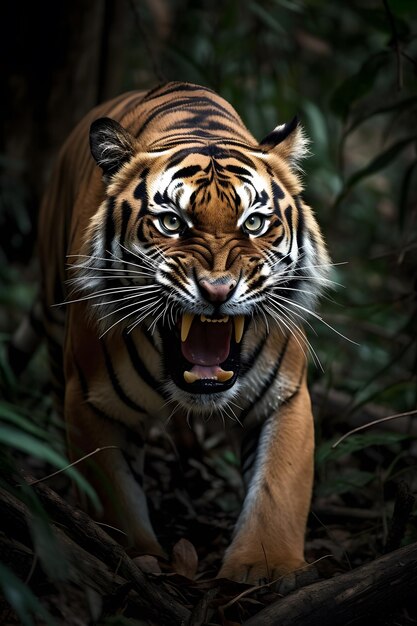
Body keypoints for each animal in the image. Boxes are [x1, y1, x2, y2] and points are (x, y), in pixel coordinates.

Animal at [34, 80, 330, 584]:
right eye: (172, 222)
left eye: (254, 223)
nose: (217, 290)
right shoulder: (91, 401)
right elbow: (114, 494)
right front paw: (136, 557)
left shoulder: (285, 397)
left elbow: (278, 486)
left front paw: (265, 566)